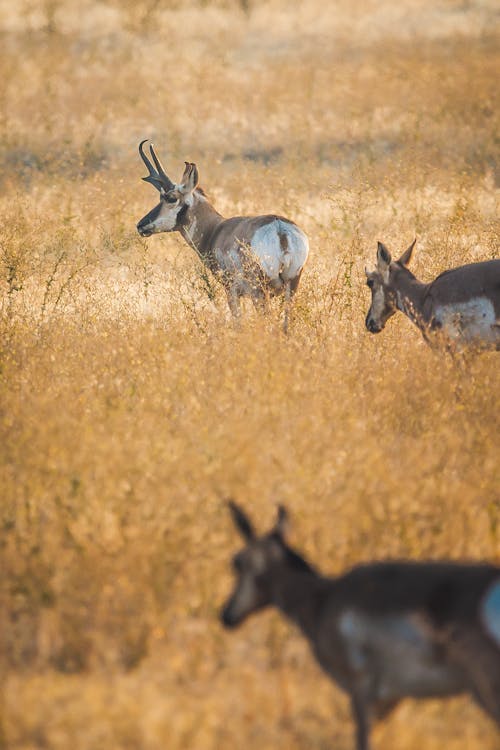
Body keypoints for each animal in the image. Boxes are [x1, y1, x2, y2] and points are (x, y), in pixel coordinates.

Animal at [137, 141, 308, 332]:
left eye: (170, 198)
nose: (140, 225)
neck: (216, 229)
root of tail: (280, 229)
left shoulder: (231, 291)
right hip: (290, 288)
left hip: (260, 292)